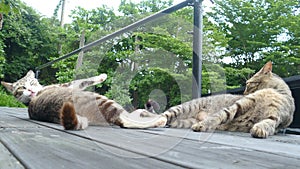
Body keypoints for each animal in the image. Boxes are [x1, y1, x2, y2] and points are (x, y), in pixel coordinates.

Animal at [148, 61, 296, 138]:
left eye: (248, 84)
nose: (243, 92)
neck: (274, 91)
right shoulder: (240, 105)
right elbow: (220, 115)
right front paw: (203, 124)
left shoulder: (277, 117)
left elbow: (268, 123)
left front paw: (260, 129)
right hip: (184, 108)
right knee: (162, 115)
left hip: (183, 121)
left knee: (167, 120)